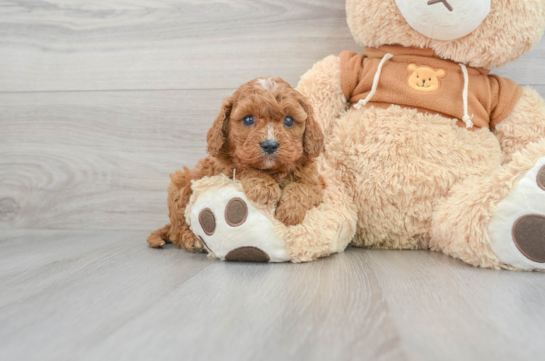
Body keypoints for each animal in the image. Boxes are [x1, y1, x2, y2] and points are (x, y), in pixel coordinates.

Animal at [148, 76, 324, 250]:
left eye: (289, 120)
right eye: (248, 119)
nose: (270, 145)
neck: (272, 171)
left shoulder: (316, 183)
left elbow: (305, 188)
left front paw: (290, 211)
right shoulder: (223, 170)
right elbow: (241, 167)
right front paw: (264, 187)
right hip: (180, 185)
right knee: (177, 228)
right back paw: (191, 238)